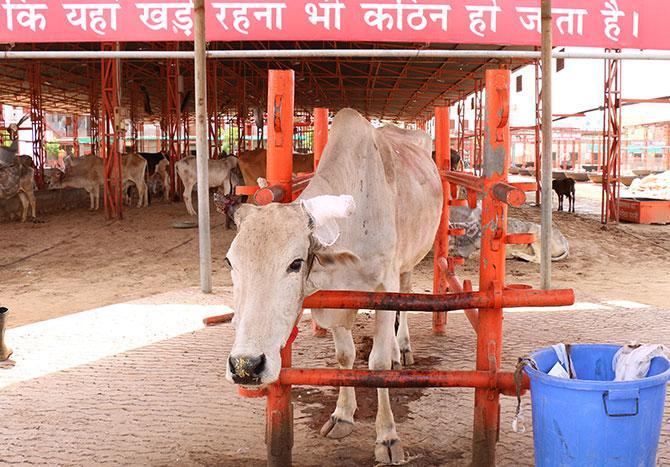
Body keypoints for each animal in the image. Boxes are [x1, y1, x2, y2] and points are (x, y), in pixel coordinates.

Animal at [227, 109, 446, 464]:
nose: (246, 365)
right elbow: (345, 356)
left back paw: (402, 348)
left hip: (408, 263)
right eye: (230, 262)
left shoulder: (384, 285)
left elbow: (377, 363)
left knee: (404, 302)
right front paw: (342, 415)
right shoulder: (334, 297)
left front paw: (387, 437)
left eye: (295, 263)